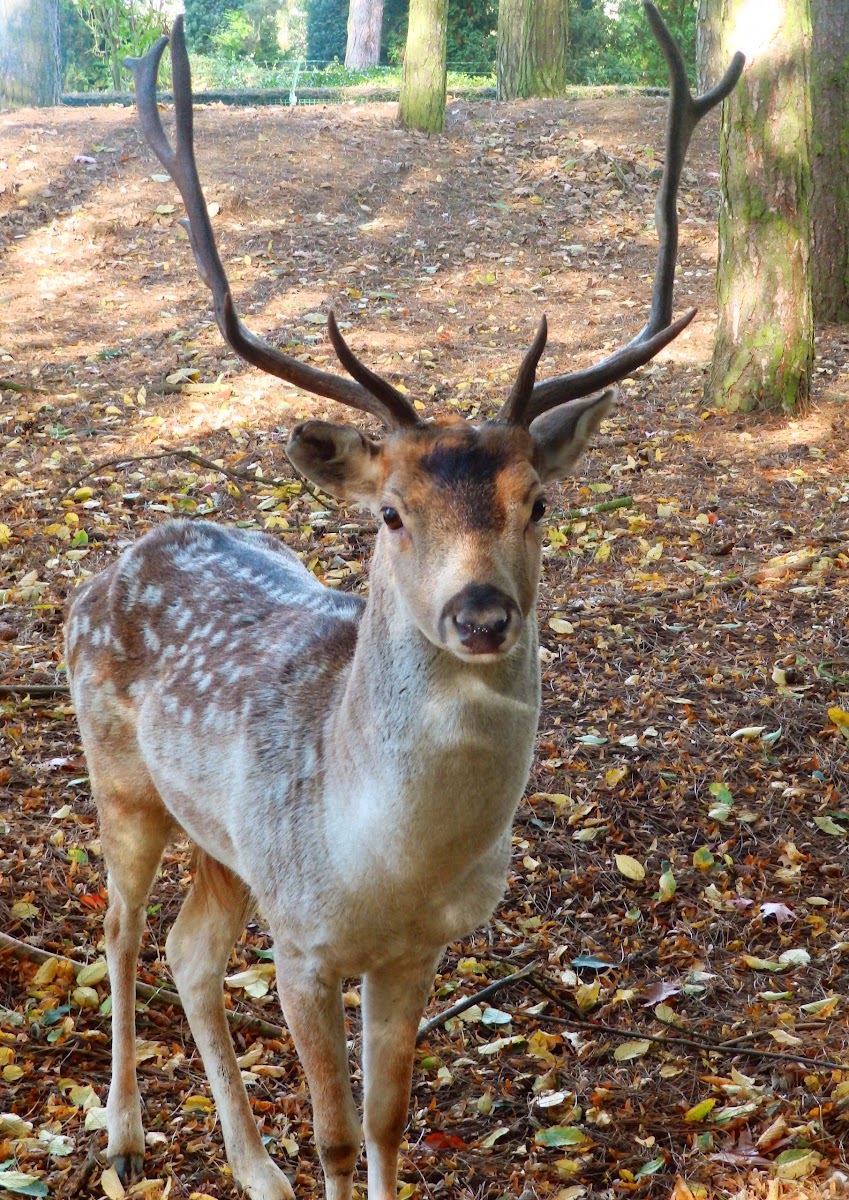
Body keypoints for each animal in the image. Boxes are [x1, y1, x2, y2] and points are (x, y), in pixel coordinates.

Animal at [66, 9, 738, 1200]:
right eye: (388, 512)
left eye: (538, 501)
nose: (480, 612)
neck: (383, 866)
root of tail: (113, 564)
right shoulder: (303, 940)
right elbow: (338, 1135)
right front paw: (298, 1155)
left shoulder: (417, 948)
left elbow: (386, 1121)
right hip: (121, 783)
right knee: (119, 933)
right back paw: (124, 1137)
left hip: (223, 842)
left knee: (190, 953)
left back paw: (254, 1169)